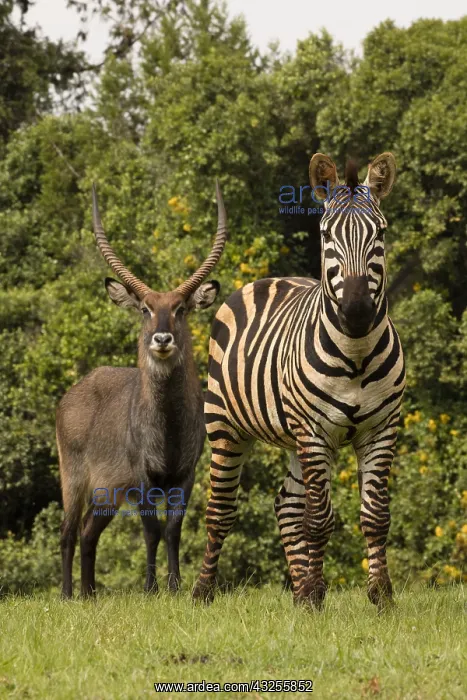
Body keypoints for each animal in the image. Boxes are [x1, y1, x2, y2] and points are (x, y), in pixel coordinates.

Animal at [192, 152, 405, 610]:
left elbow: (374, 516)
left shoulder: (381, 428)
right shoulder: (314, 430)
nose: (357, 312)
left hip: (293, 436)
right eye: (326, 235)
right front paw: (313, 600)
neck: (356, 355)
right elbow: (319, 518)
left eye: (379, 233)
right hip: (226, 425)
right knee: (220, 509)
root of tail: (268, 278)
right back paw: (202, 591)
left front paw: (379, 595)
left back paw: (300, 587)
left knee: (287, 507)